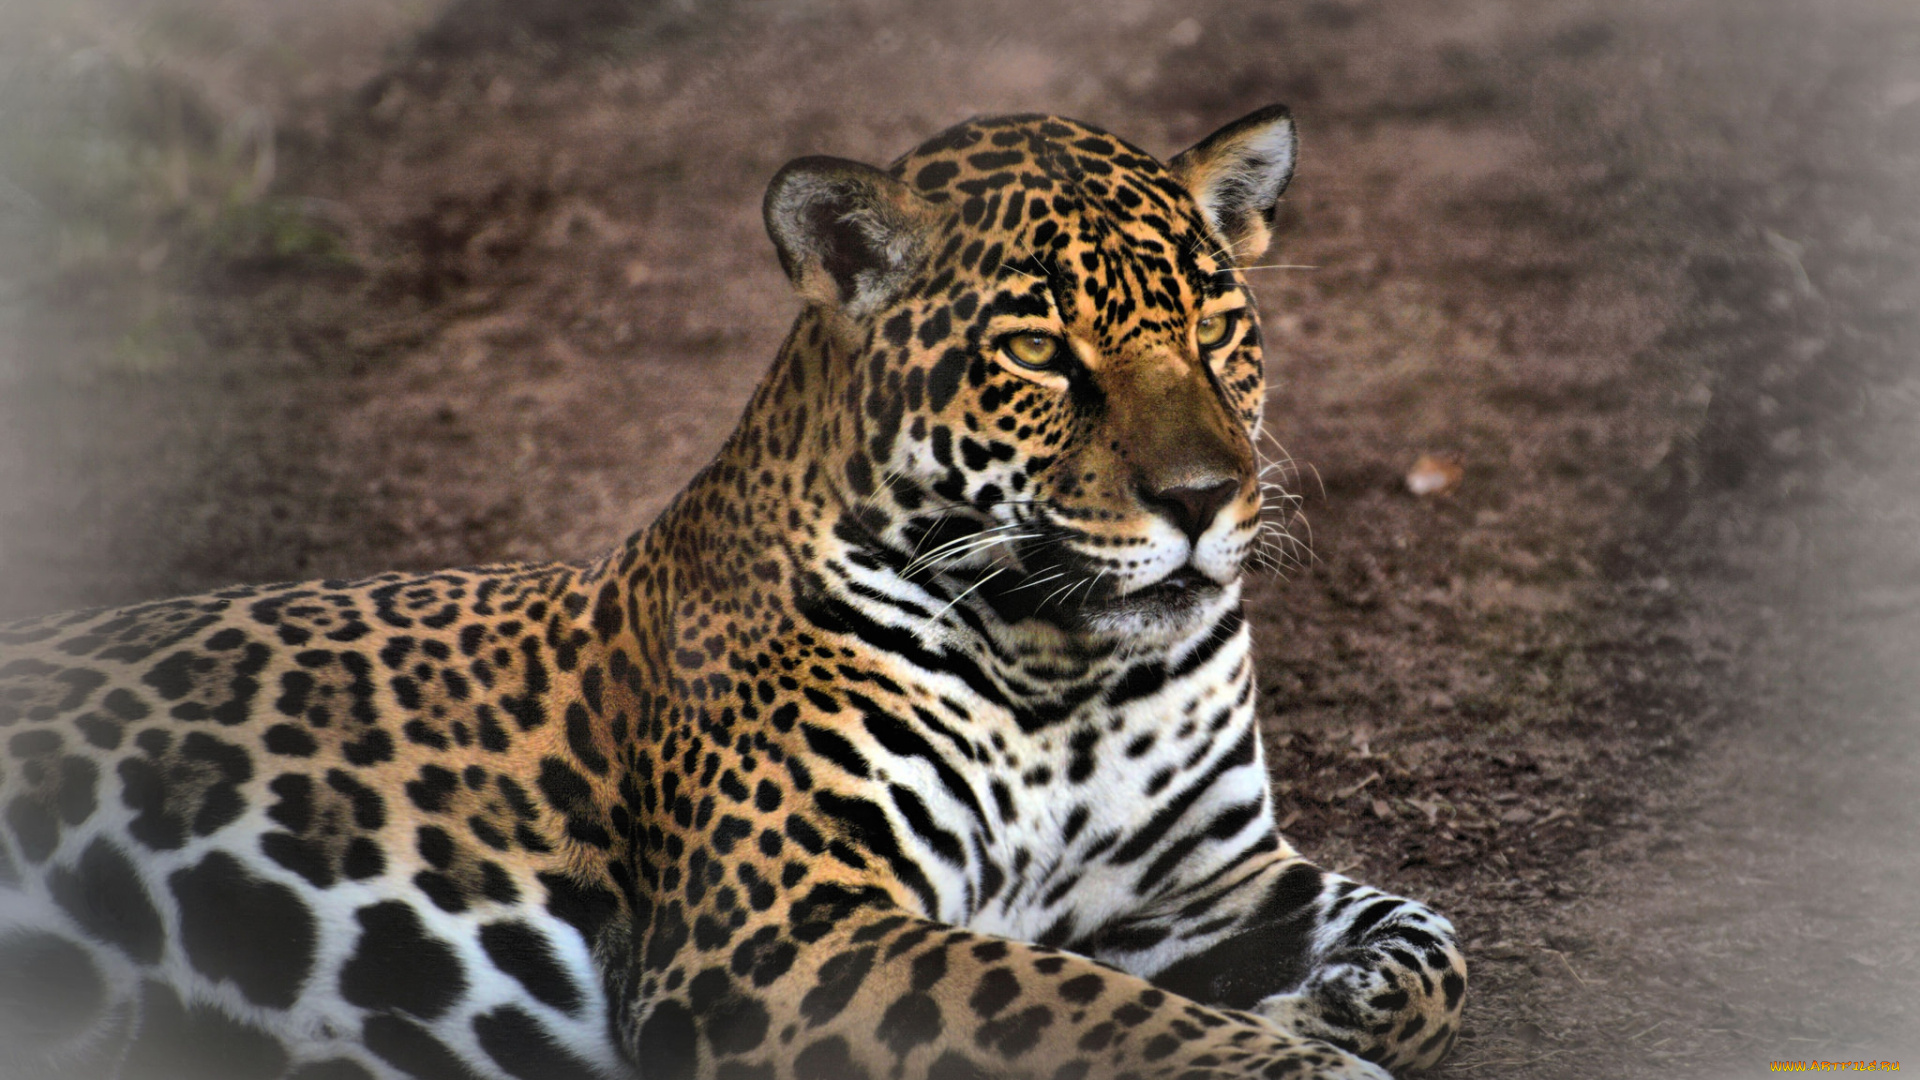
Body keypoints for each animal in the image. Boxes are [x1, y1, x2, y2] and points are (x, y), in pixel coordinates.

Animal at [0, 106, 1466, 1080]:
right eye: (1042, 353)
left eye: (1219, 331)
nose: (1206, 499)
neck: (1068, 669)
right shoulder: (775, 931)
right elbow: (1074, 1005)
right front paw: (1303, 1059)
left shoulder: (1196, 878)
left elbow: (1432, 939)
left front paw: (1331, 1006)